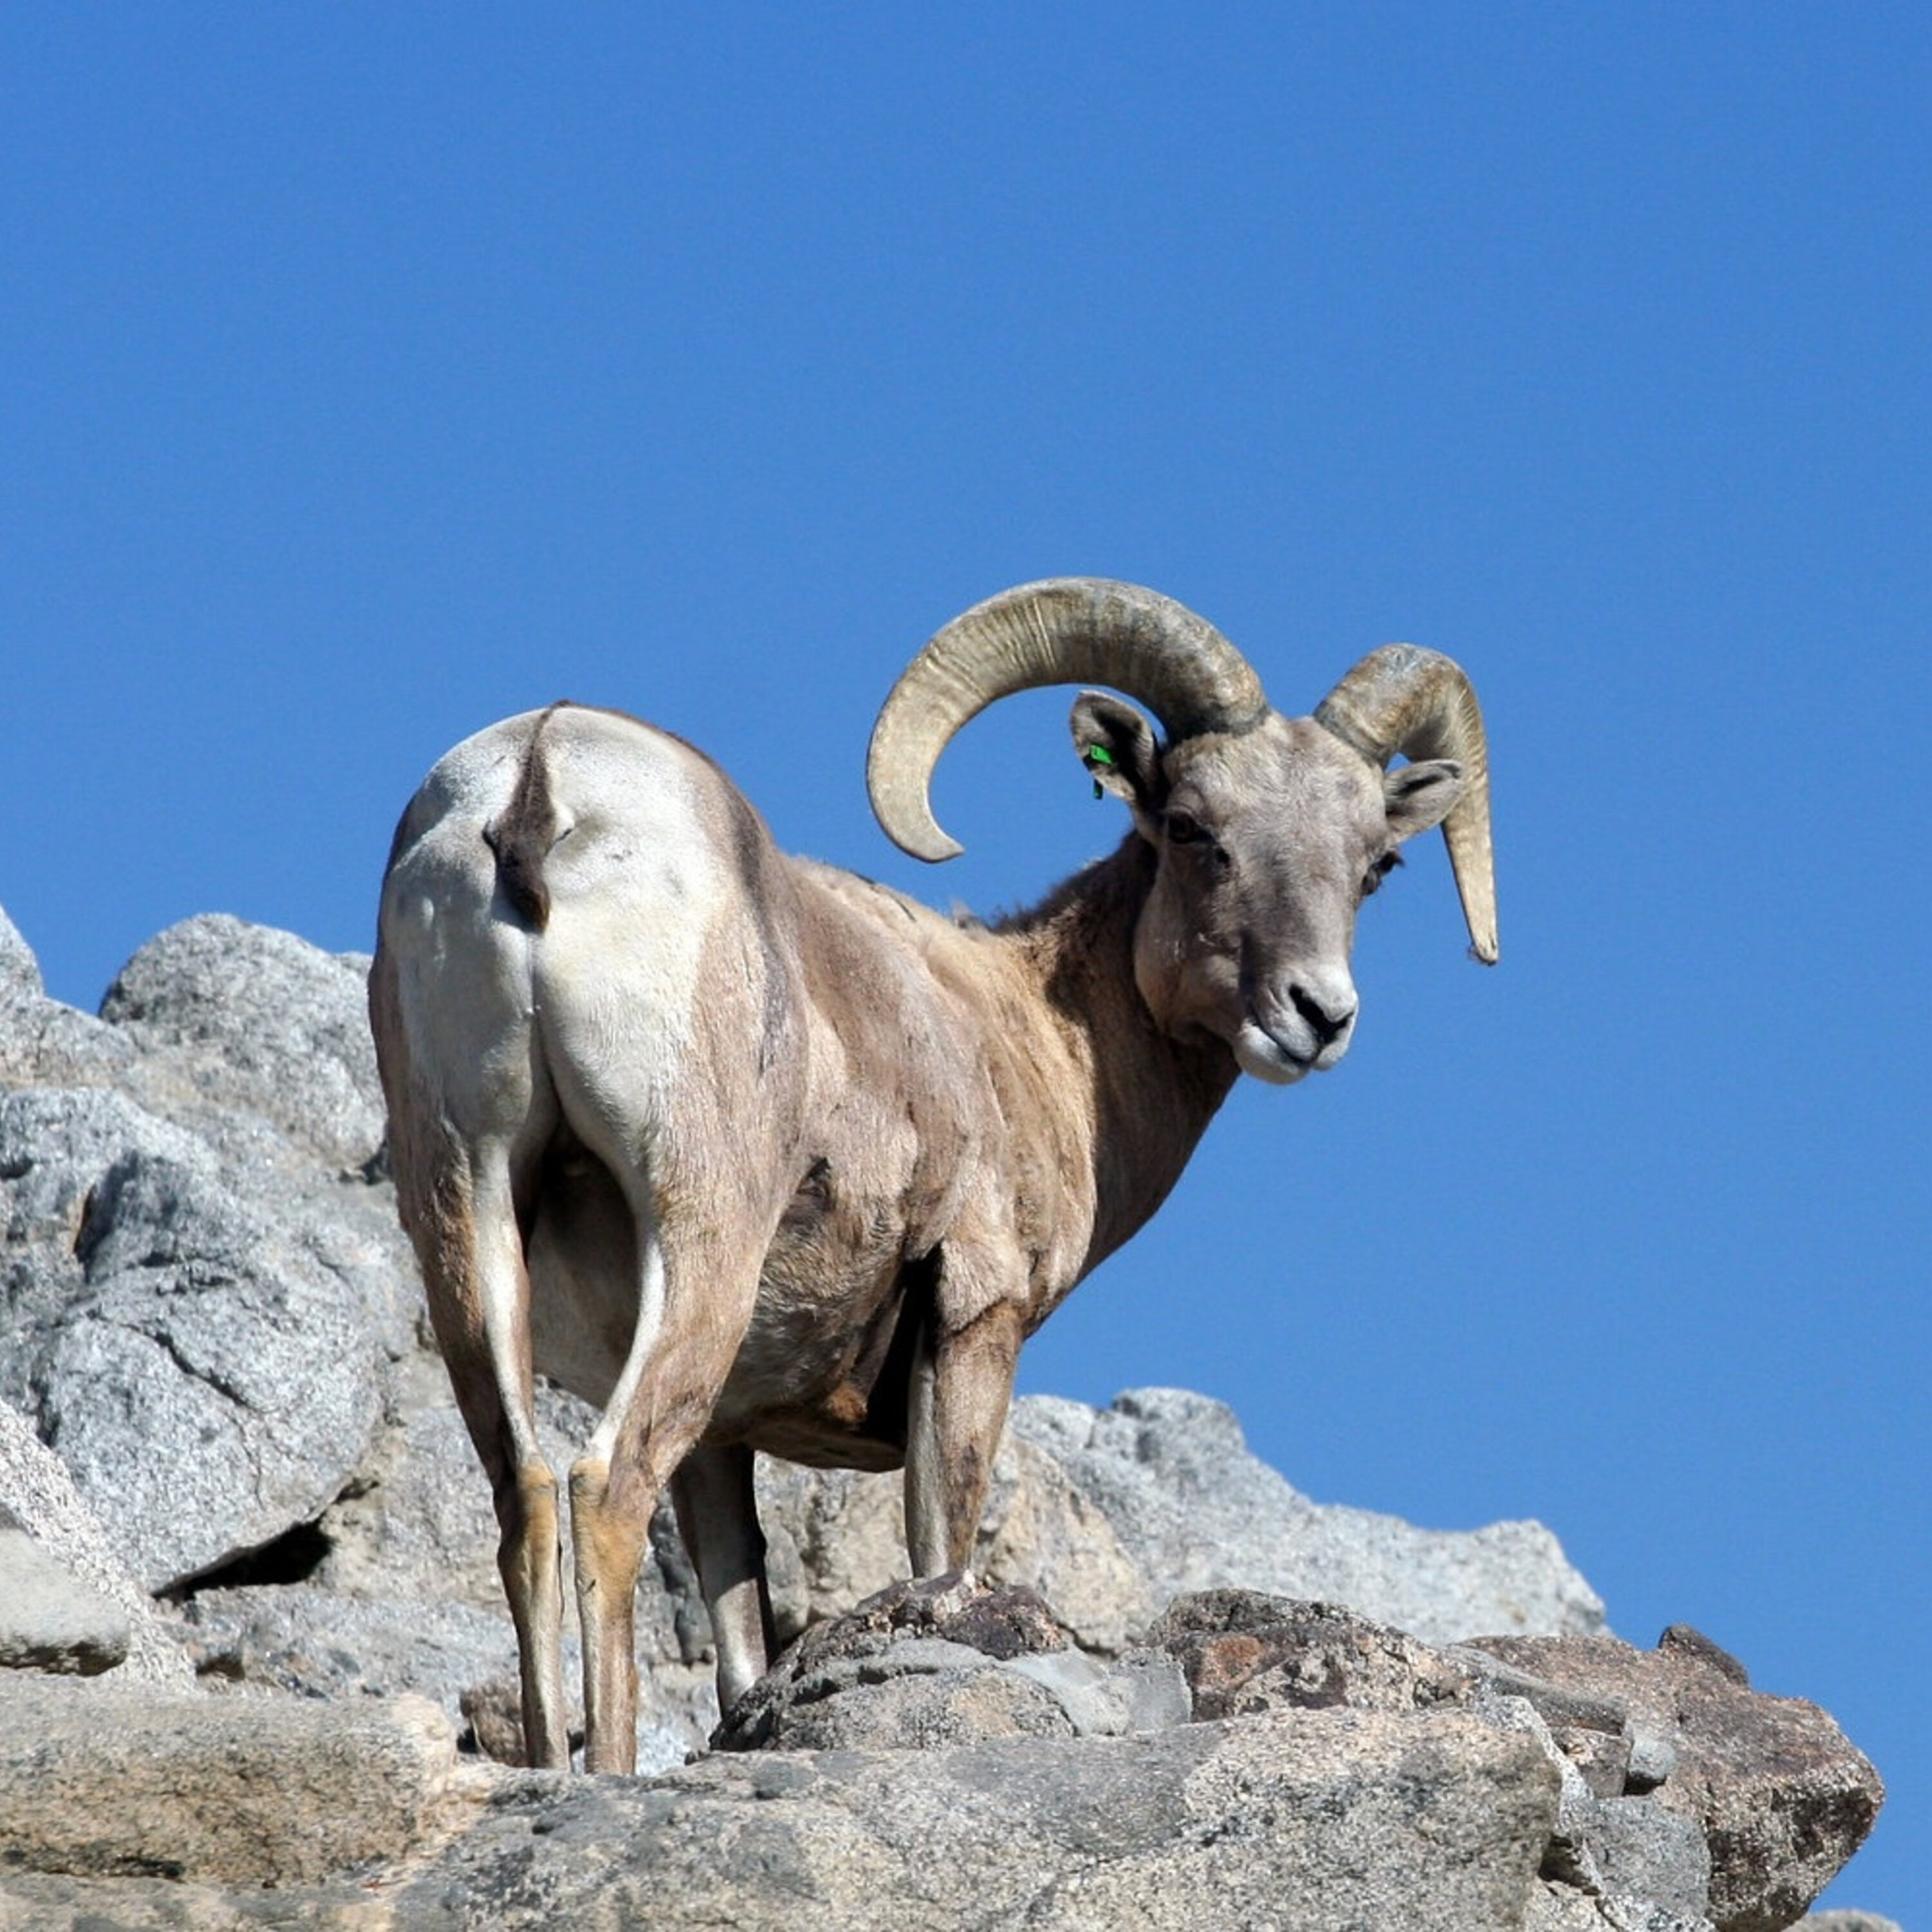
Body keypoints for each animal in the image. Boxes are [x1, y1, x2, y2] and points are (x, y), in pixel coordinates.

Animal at [369, 577, 1497, 1772]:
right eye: (1192, 827)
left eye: (1376, 863)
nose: (1317, 1016)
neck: (1035, 1030)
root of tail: (543, 780)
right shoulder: (972, 1323)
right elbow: (936, 1548)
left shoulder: (725, 1438)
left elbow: (740, 1639)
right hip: (698, 1235)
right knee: (605, 1488)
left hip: (472, 1214)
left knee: (527, 1496)